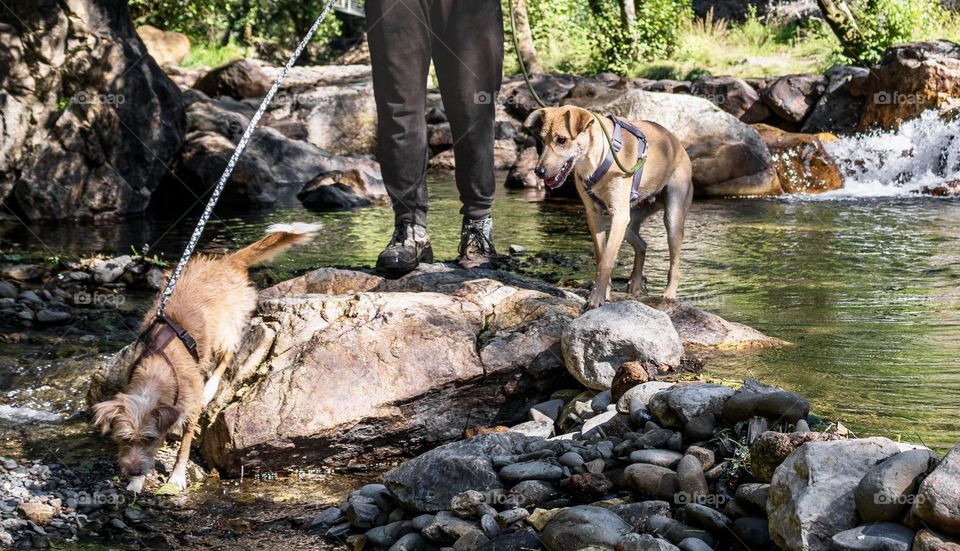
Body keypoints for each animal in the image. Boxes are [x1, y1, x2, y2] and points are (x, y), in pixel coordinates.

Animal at [92, 222, 320, 494]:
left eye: (150, 438)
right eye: (124, 439)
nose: (134, 470)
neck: (158, 365)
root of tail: (225, 262)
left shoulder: (189, 410)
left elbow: (184, 446)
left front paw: (176, 477)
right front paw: (137, 482)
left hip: (226, 326)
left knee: (227, 355)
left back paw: (210, 388)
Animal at [524, 105, 688, 308]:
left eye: (561, 139)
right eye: (542, 140)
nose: (538, 171)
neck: (598, 158)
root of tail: (677, 143)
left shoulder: (618, 215)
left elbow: (607, 260)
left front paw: (595, 299)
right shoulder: (595, 215)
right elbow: (601, 255)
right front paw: (605, 293)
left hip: (672, 217)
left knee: (675, 263)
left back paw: (669, 294)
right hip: (629, 224)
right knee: (642, 245)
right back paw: (635, 283)